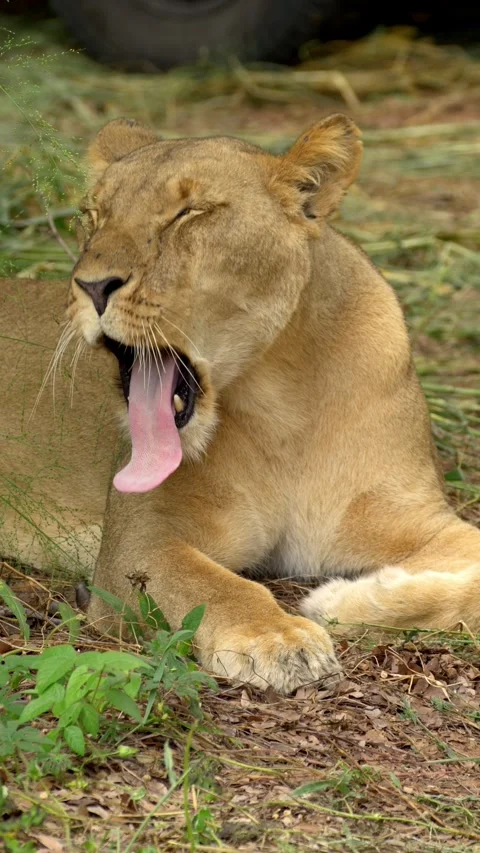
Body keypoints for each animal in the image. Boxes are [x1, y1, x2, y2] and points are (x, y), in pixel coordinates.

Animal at [1, 114, 479, 694]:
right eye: (93, 215)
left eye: (189, 212)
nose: (91, 286)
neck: (285, 403)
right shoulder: (136, 544)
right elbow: (213, 585)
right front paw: (279, 638)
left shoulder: (418, 517)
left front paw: (348, 600)